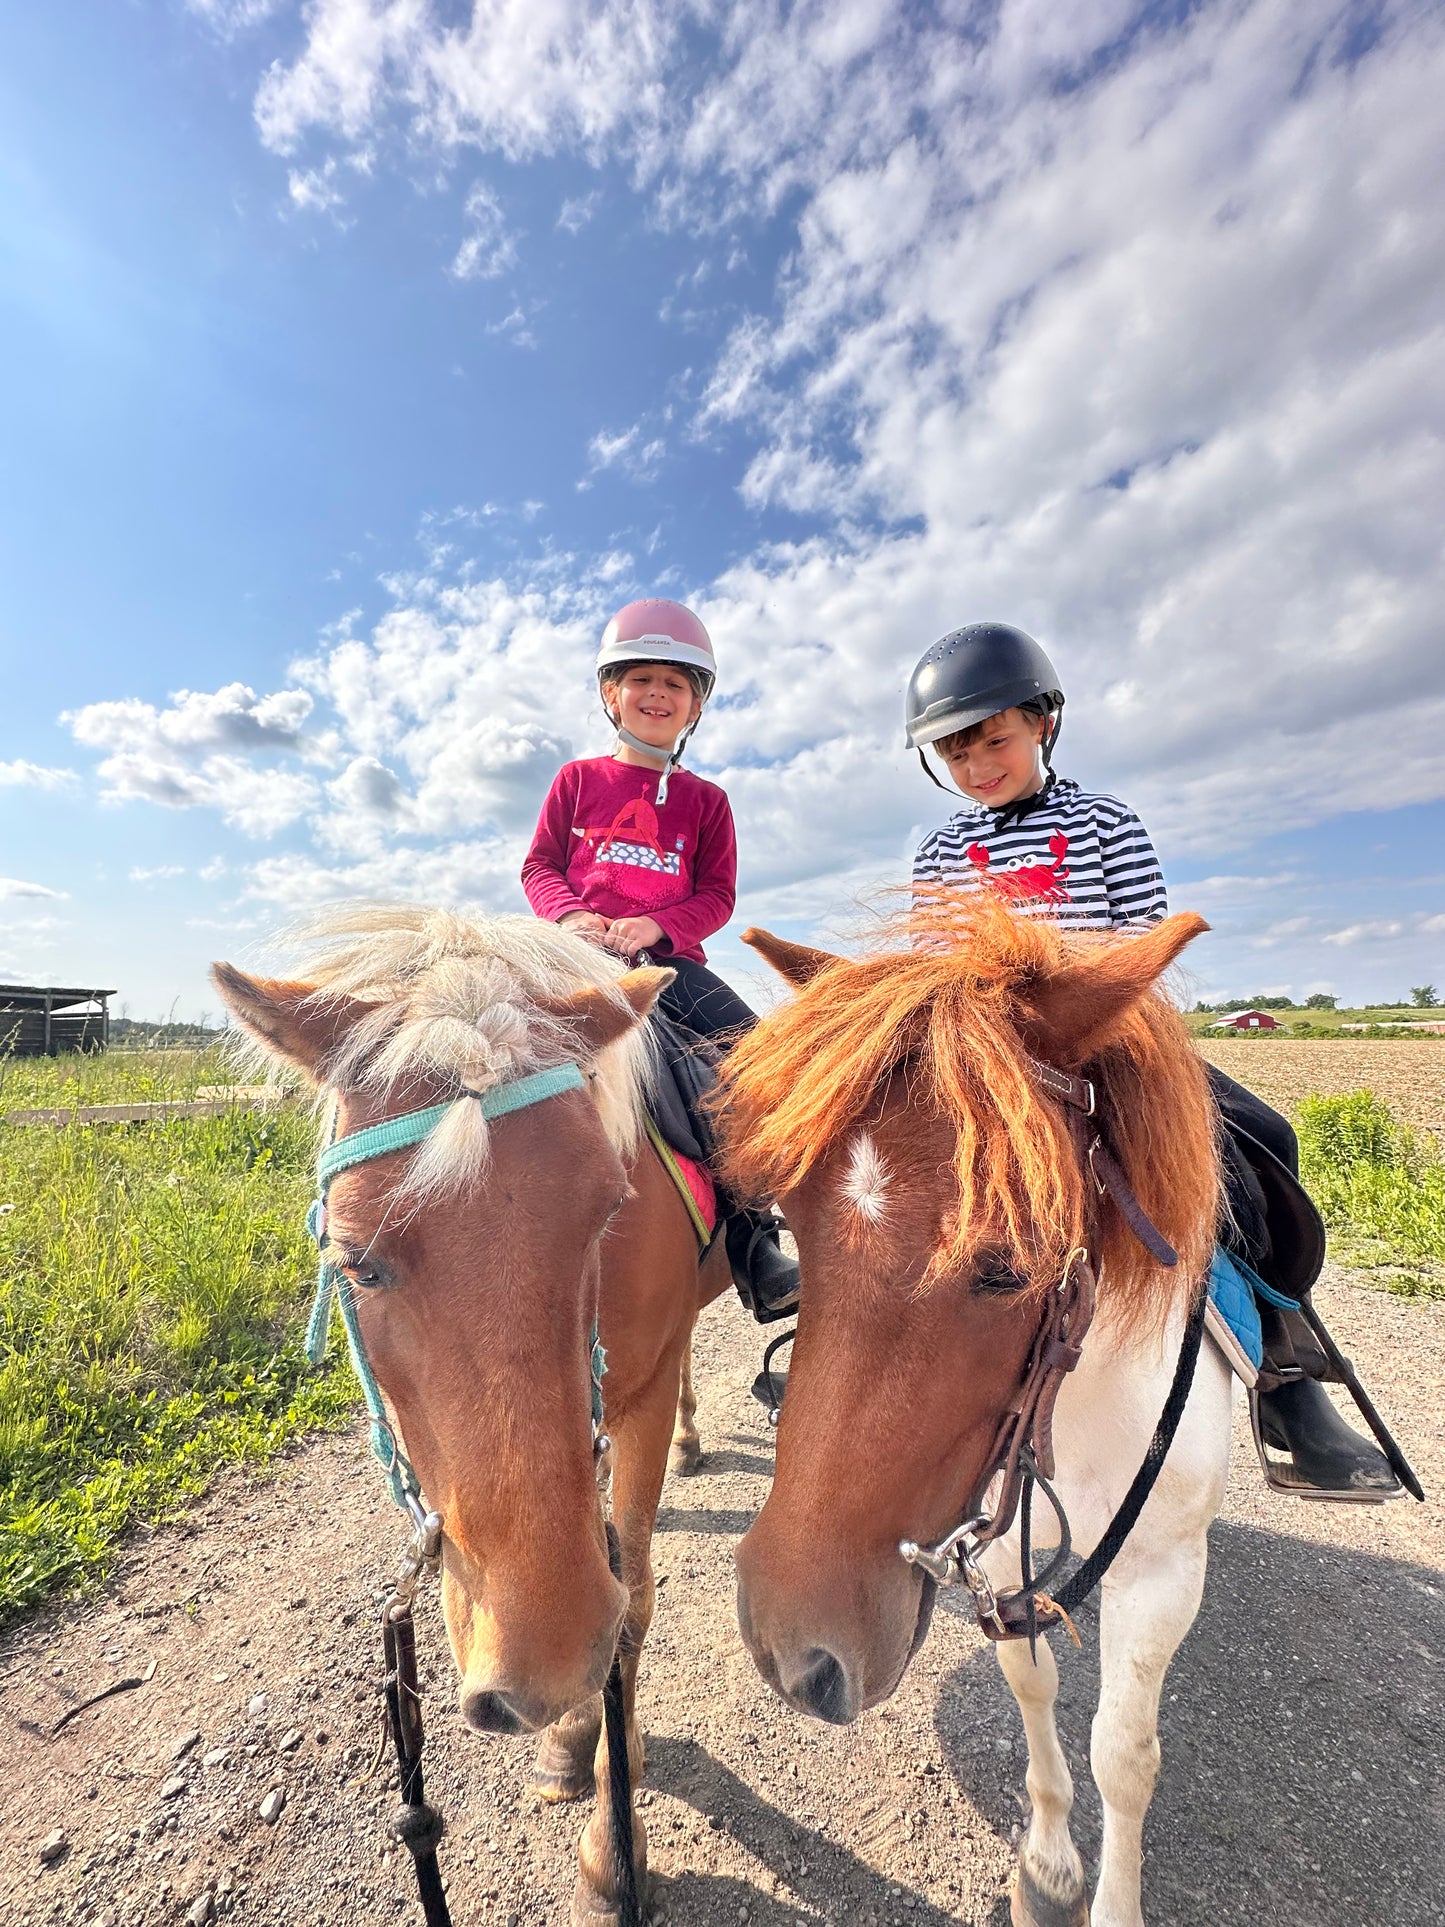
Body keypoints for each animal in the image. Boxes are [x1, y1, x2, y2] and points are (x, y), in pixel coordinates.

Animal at [209, 905, 728, 1927]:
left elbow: (633, 1601)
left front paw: (612, 1850)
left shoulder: (632, 1407)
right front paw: (570, 1739)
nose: (540, 1653)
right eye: (357, 1260)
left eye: (609, 1207)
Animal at [720, 894, 1240, 1927]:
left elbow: (1123, 1756)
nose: (790, 1647)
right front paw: (1046, 1864)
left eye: (1005, 1266)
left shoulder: (1163, 1571)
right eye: (790, 1221)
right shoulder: (999, 1545)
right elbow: (1030, 1683)